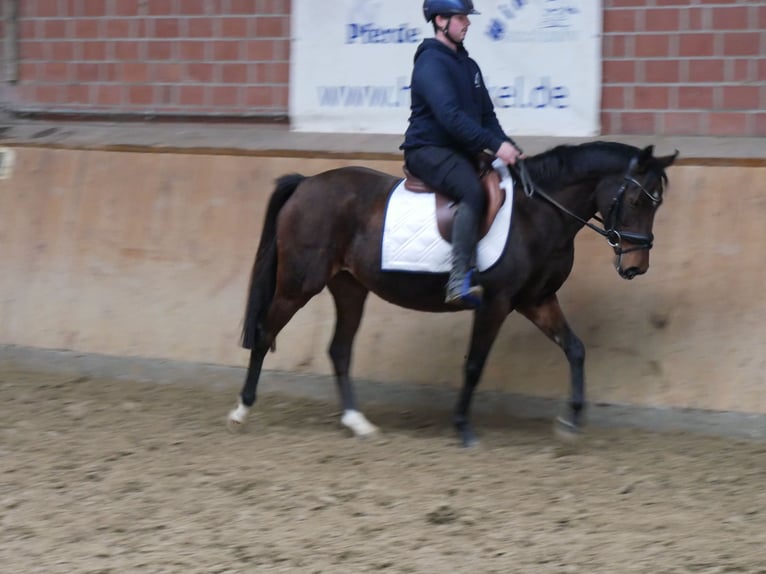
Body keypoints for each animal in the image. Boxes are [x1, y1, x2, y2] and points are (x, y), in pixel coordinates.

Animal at [226, 142, 680, 448]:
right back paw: (241, 410)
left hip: (349, 287)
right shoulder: (496, 303)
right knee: (265, 333)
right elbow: (474, 365)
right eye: (636, 198)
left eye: (656, 204)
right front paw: (463, 427)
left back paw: (358, 422)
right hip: (299, 284)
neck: (538, 213)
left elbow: (575, 349)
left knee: (339, 349)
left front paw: (570, 423)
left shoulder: (536, 301)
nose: (635, 266)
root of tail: (306, 183)